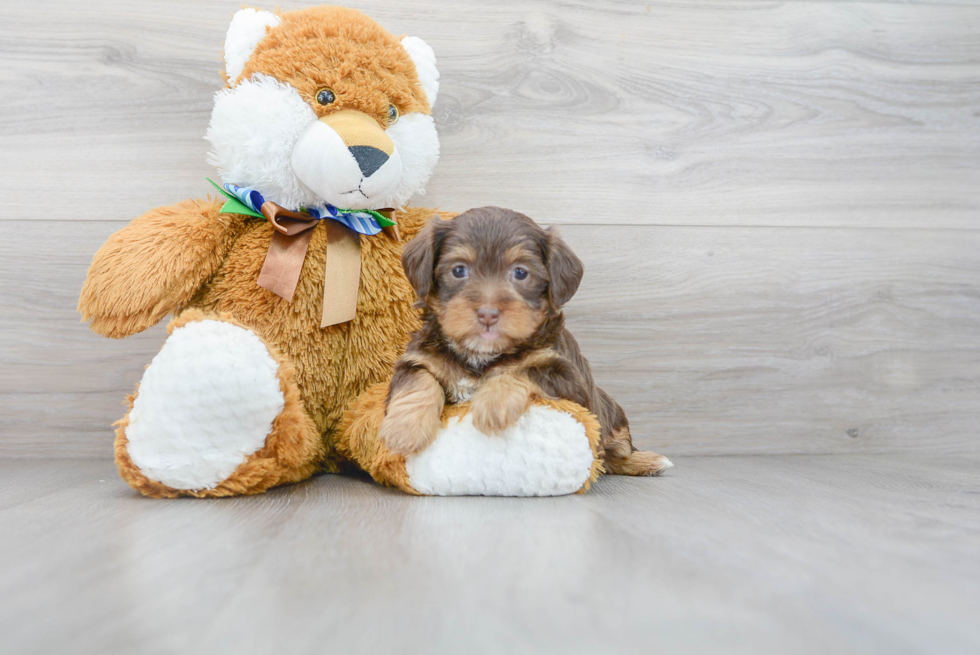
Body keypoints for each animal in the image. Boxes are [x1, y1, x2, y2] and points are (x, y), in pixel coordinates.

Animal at [378, 206, 668, 476]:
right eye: (459, 270)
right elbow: (418, 381)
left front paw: (492, 403)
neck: (482, 354)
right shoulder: (419, 358)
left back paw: (648, 460)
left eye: (520, 273)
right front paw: (404, 429)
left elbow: (524, 368)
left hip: (608, 411)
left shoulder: (570, 381)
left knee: (616, 453)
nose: (488, 314)